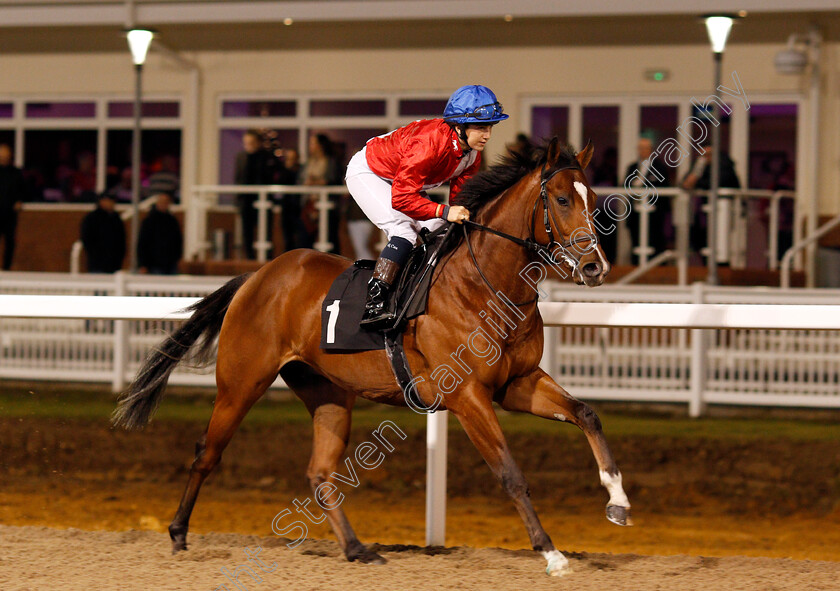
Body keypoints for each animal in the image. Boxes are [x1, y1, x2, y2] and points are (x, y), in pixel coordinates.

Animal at [115, 138, 632, 572]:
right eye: (561, 199)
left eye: (593, 199)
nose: (595, 266)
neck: (484, 283)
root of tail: (257, 276)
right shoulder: (468, 395)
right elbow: (510, 473)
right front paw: (550, 552)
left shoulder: (516, 383)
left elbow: (587, 414)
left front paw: (617, 501)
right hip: (241, 383)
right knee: (207, 453)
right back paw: (178, 533)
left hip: (327, 393)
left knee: (320, 472)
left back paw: (356, 548)